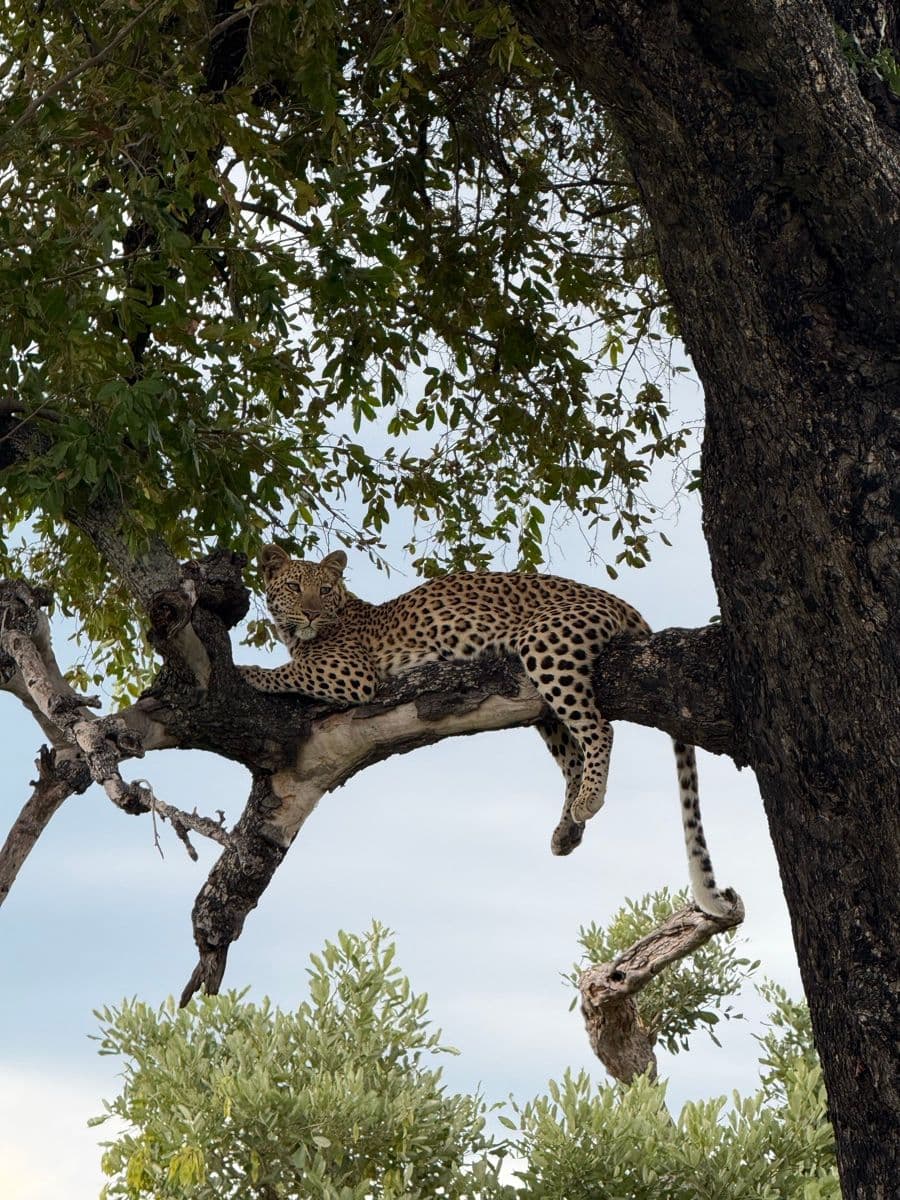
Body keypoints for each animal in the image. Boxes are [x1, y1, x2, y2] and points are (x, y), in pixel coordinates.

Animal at [241, 544, 734, 917]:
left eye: (324, 590)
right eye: (294, 587)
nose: (309, 614)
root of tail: (619, 601)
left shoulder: (352, 673)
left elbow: (290, 670)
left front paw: (247, 672)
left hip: (546, 644)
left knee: (599, 729)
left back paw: (588, 800)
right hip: (542, 700)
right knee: (573, 756)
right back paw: (567, 830)